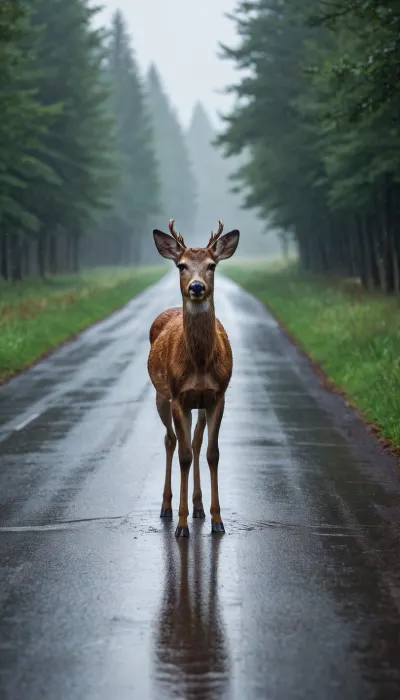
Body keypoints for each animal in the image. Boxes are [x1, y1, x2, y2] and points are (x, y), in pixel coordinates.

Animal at [147, 219, 240, 538]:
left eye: (212, 265)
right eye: (181, 265)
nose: (196, 287)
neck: (199, 365)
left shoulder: (218, 395)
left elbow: (212, 453)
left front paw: (217, 520)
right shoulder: (179, 397)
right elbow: (184, 456)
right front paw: (181, 525)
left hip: (198, 404)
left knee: (196, 441)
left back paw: (199, 507)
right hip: (161, 395)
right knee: (171, 440)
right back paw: (166, 506)